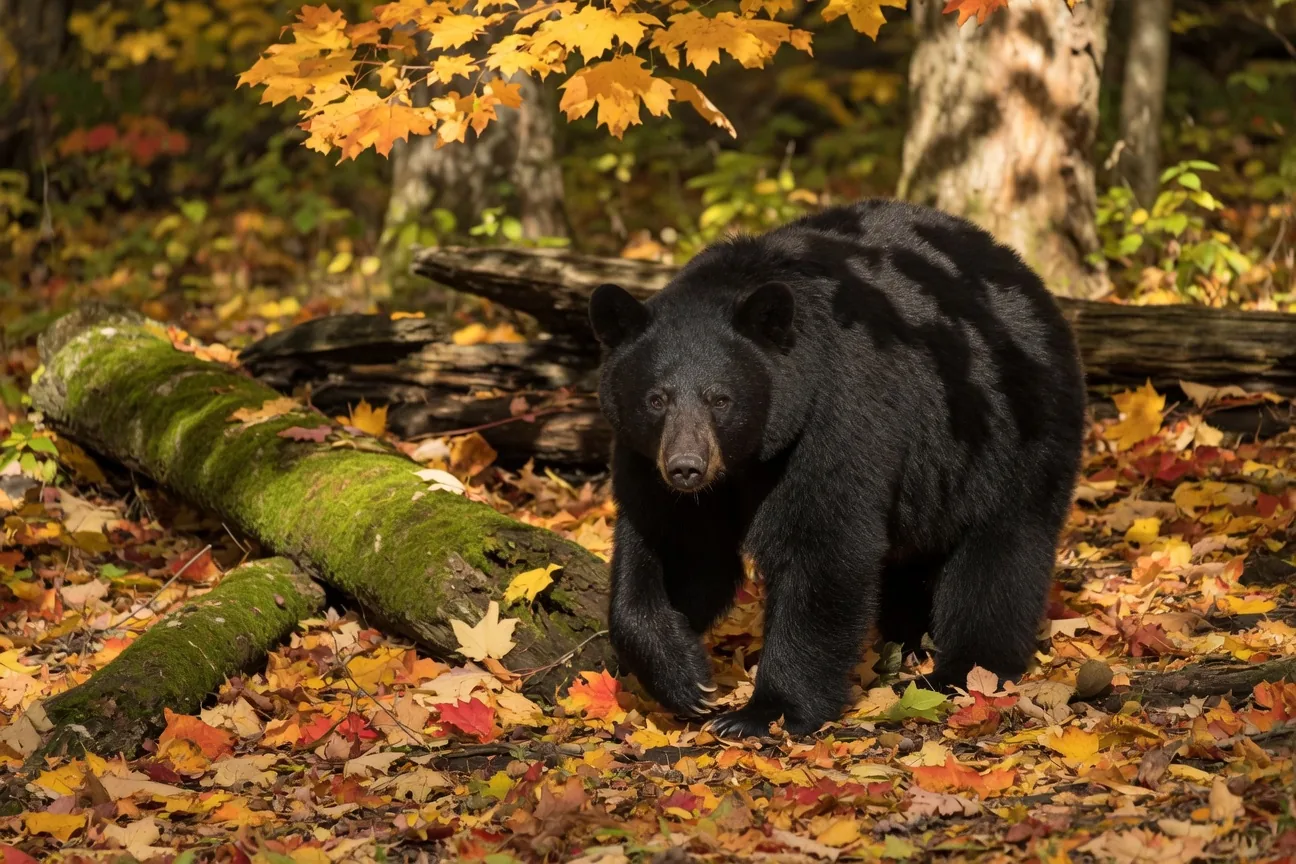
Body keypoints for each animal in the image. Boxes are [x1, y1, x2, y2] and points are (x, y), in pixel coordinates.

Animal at [588, 199, 1086, 739]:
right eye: (655, 398)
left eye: (721, 398)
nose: (686, 468)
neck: (749, 460)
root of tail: (1025, 276)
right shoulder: (647, 460)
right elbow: (676, 550)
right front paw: (685, 678)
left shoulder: (834, 416)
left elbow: (823, 547)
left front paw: (764, 711)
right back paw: (907, 645)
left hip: (1010, 430)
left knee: (1002, 553)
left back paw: (964, 670)